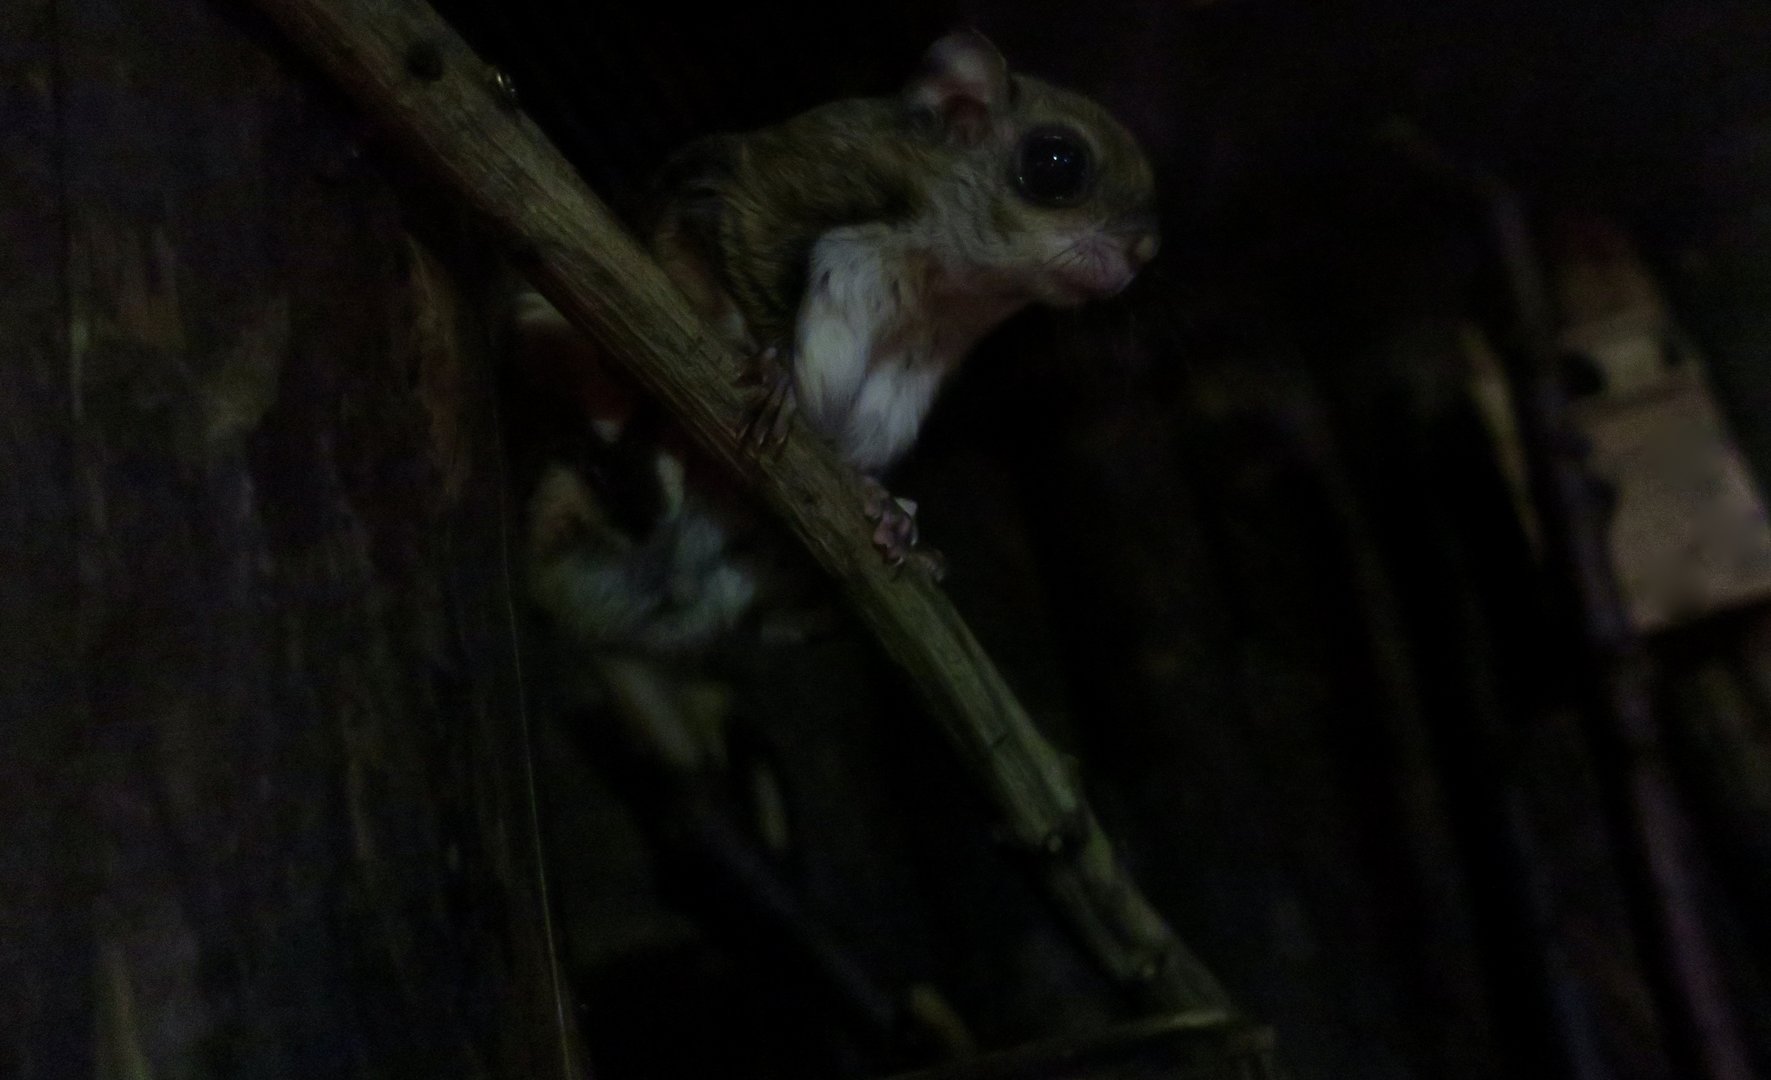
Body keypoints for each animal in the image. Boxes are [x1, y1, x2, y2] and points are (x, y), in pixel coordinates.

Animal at [518, 28, 1159, 653]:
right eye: (1056, 162)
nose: (1144, 252)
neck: (945, 287)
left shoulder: (918, 363)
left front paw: (888, 508)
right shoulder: (804, 177)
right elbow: (723, 237)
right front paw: (773, 371)